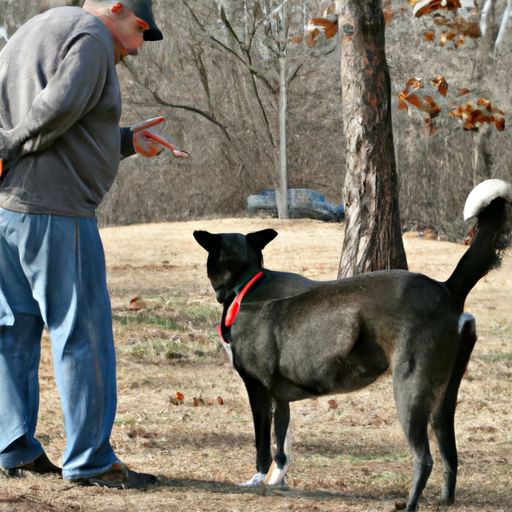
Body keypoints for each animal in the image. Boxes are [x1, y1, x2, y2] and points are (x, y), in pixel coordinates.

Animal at [193, 178, 512, 510]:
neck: (247, 284)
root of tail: (447, 288)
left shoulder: (257, 390)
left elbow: (262, 447)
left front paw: (257, 482)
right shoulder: (280, 398)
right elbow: (282, 446)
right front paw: (277, 482)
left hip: (410, 391)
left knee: (424, 460)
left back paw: (410, 504)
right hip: (442, 402)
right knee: (451, 457)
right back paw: (444, 502)